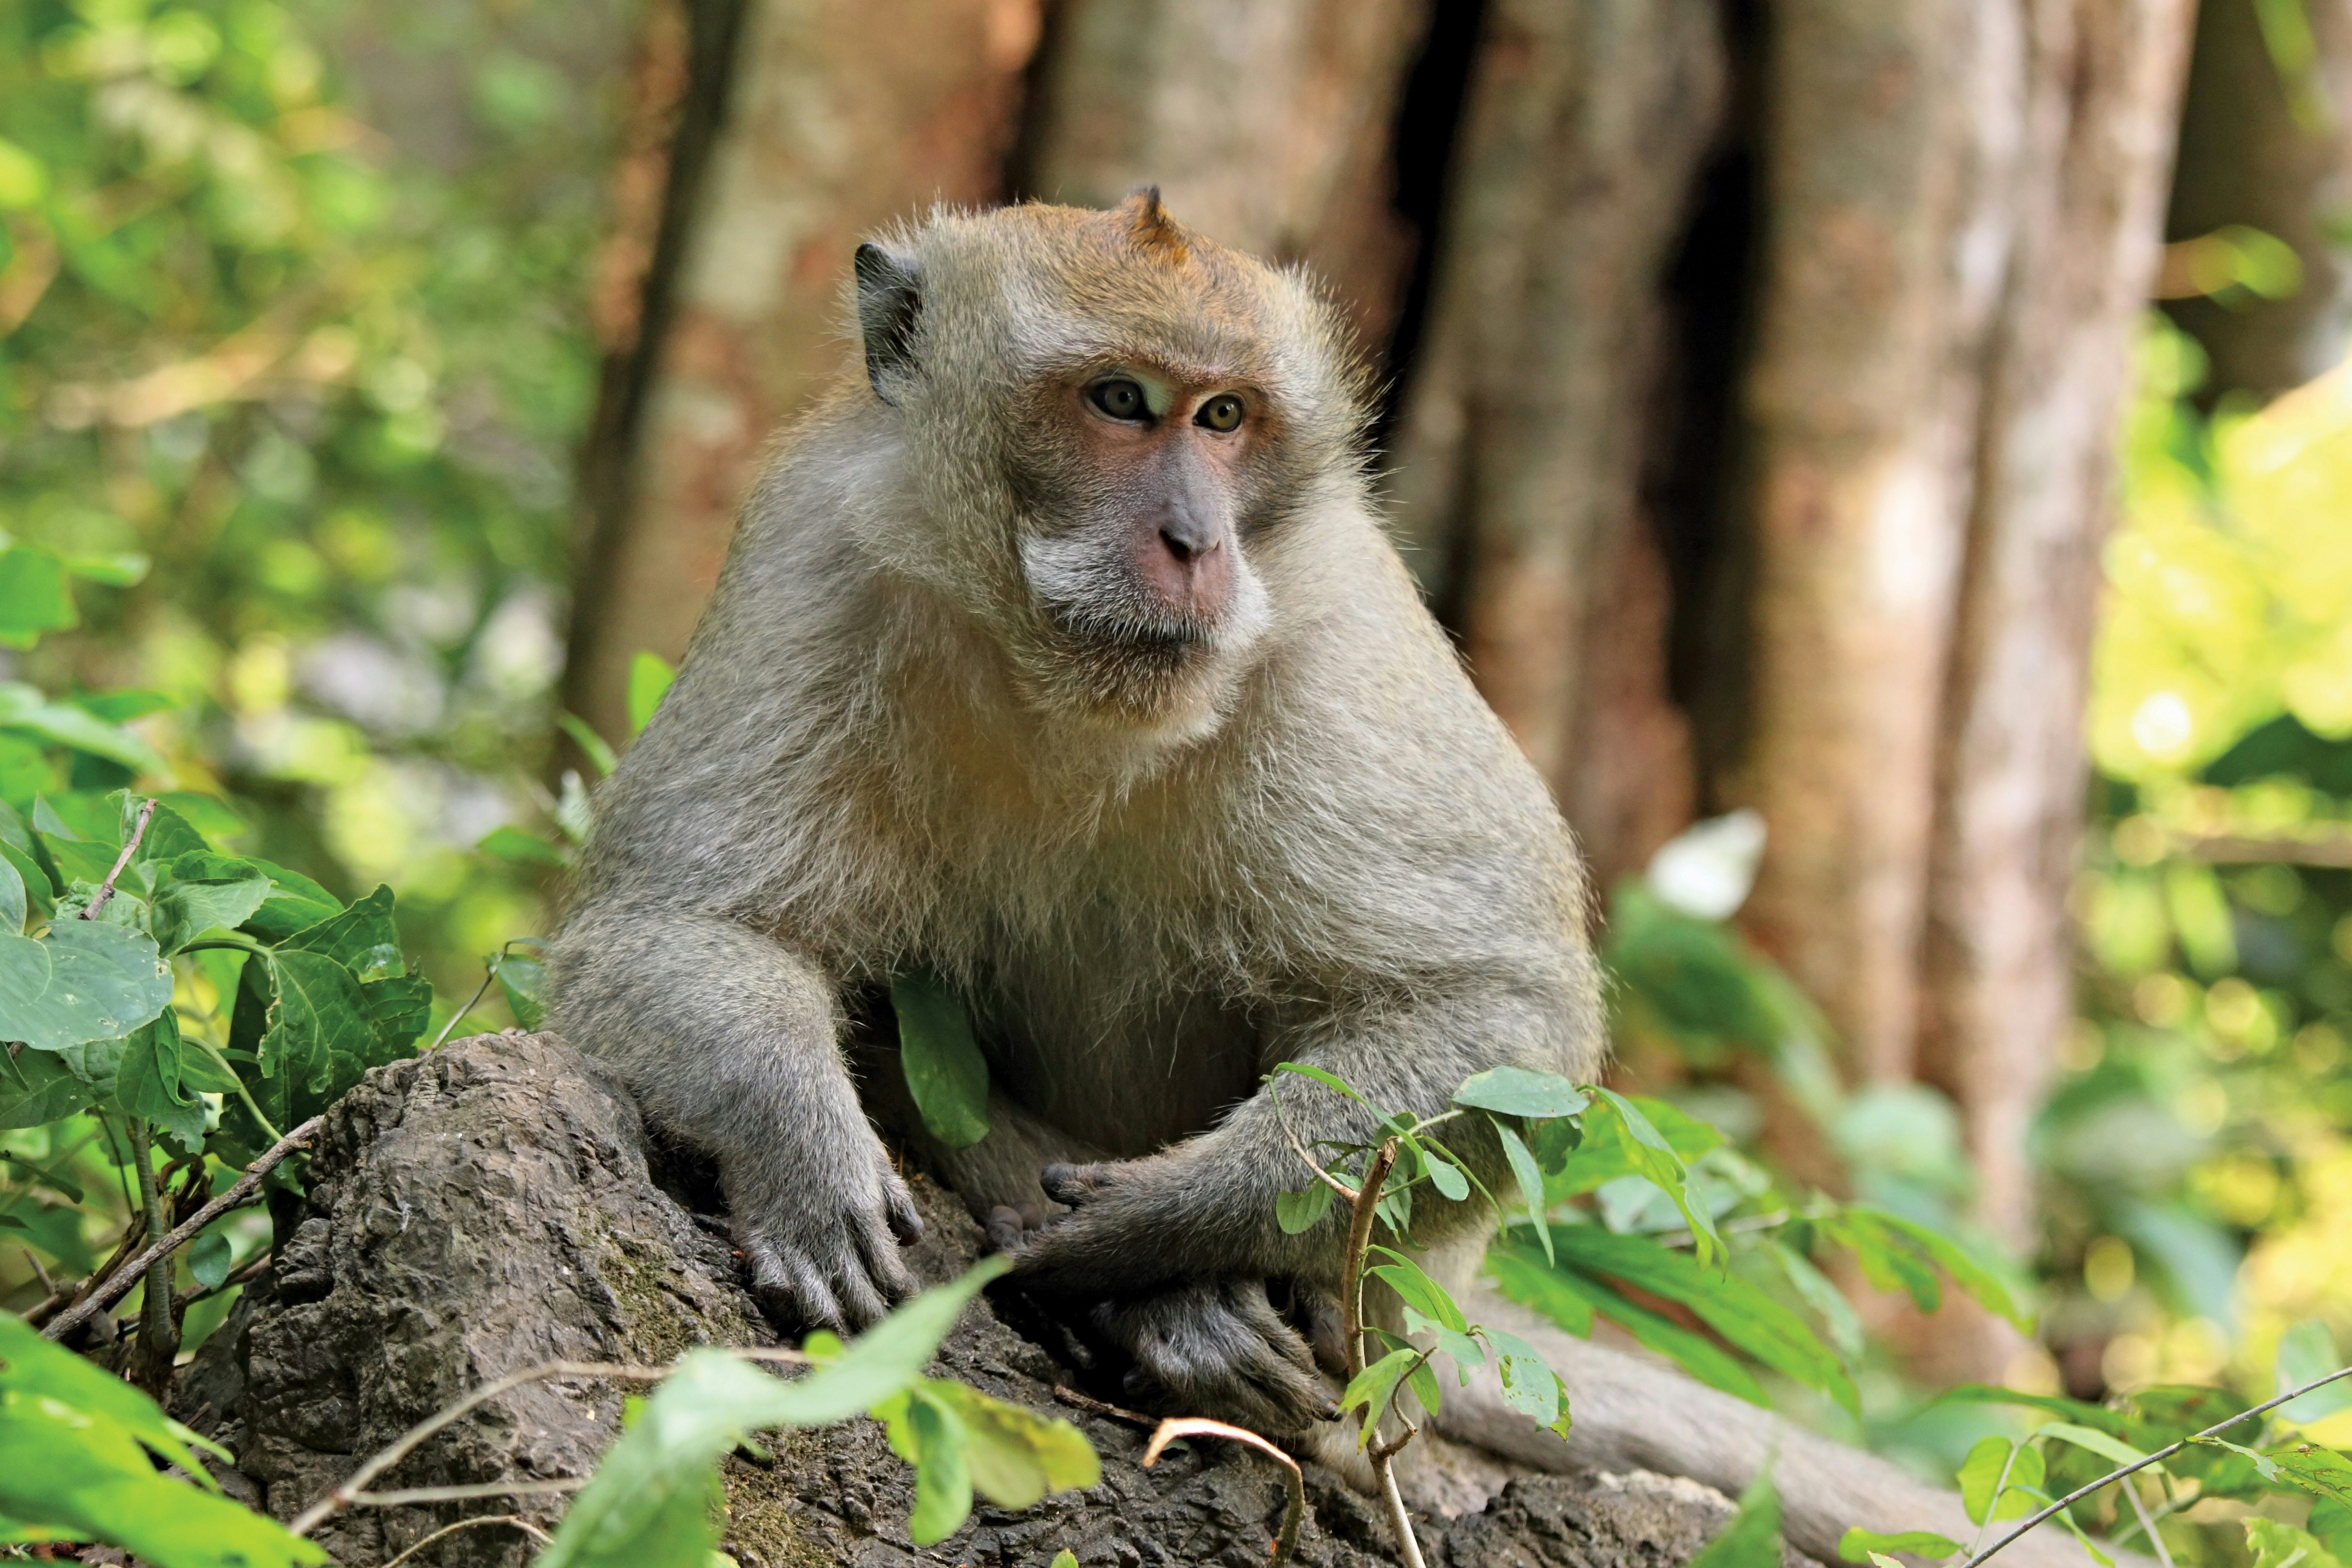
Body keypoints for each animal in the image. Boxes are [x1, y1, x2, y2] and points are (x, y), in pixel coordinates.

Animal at [546, 193, 2108, 1568]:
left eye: (1225, 419)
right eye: (1119, 401)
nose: (1193, 540)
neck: (1069, 684)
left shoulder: (1338, 622)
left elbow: (1494, 1013)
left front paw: (1152, 1227)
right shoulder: (812, 552)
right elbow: (671, 925)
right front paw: (804, 1156)